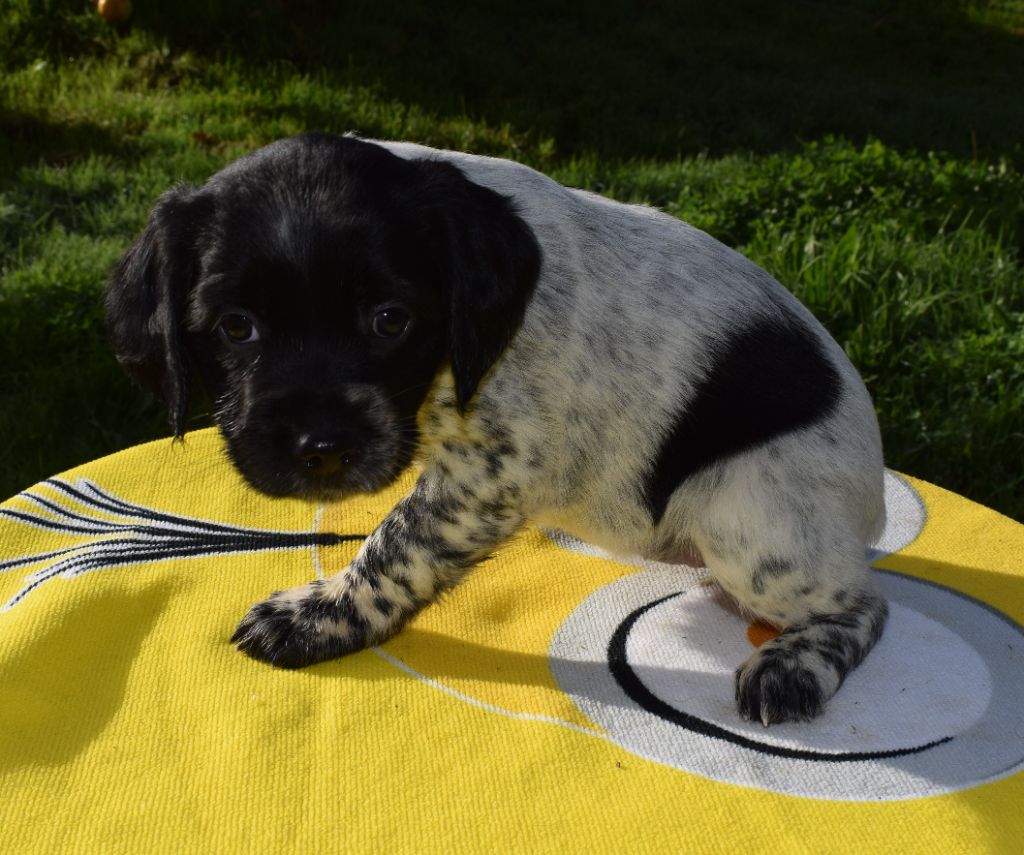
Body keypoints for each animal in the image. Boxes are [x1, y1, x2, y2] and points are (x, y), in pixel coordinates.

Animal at [106, 133, 888, 725]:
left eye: (390, 320)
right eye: (235, 327)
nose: (322, 452)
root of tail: (874, 506)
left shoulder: (487, 473)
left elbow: (394, 547)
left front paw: (322, 615)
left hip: (748, 520)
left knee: (865, 604)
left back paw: (795, 662)